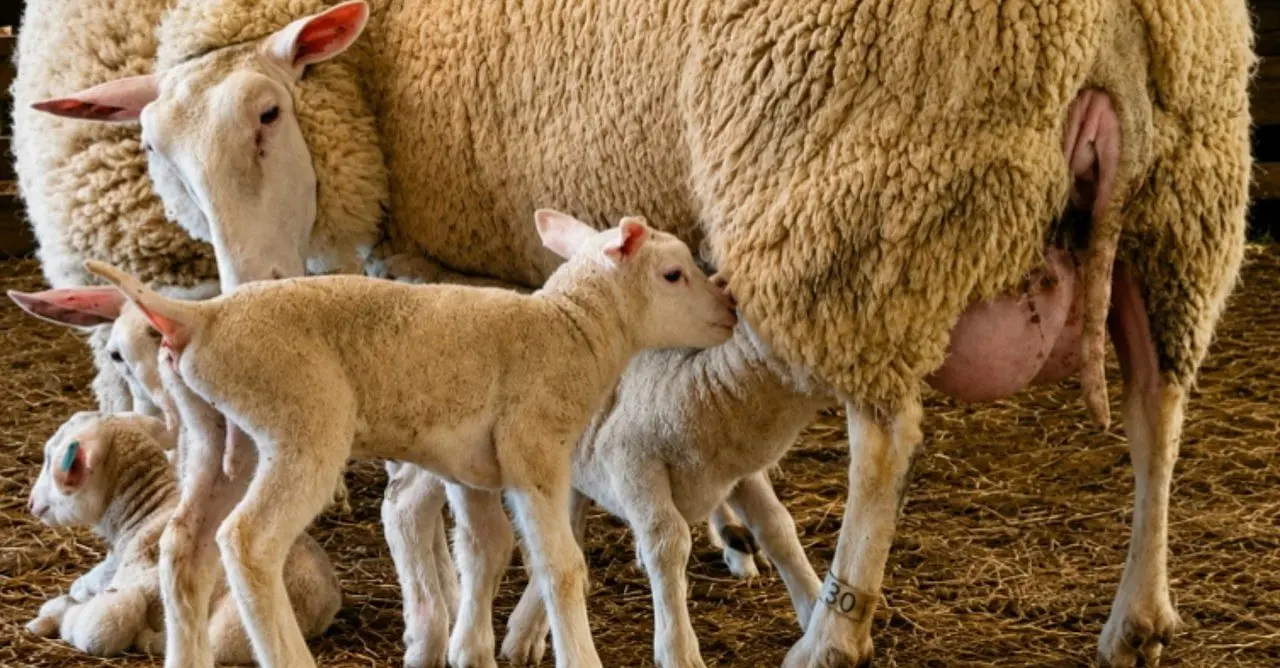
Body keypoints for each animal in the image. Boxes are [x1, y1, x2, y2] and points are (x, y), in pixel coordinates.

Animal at [23, 411, 342, 663]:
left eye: (51, 460)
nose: (30, 502)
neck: (145, 513)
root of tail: (318, 603)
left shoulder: (132, 589)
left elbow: (98, 625)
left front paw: (50, 615)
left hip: (230, 627)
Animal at [82, 211, 737, 668]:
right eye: (673, 274)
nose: (730, 309)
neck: (571, 331)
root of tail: (199, 319)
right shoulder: (534, 451)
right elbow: (560, 565)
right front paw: (578, 654)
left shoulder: (474, 470)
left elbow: (485, 551)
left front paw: (469, 649)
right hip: (300, 421)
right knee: (247, 542)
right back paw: (290, 654)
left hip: (216, 435)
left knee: (183, 546)